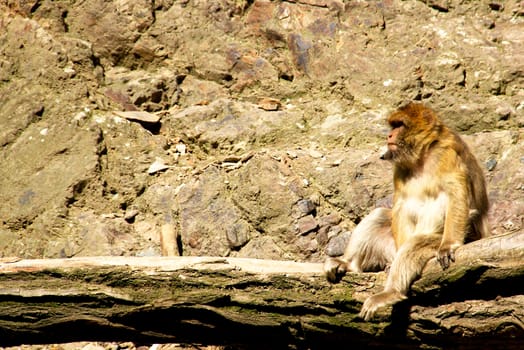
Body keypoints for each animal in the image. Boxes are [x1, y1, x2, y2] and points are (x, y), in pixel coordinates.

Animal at [324, 101, 492, 320]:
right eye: (392, 126)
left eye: (399, 125)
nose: (389, 136)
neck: (423, 156)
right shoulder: (400, 167)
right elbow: (401, 204)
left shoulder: (447, 154)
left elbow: (456, 195)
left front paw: (448, 245)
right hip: (389, 247)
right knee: (380, 216)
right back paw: (347, 263)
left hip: (459, 237)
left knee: (416, 243)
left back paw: (391, 292)